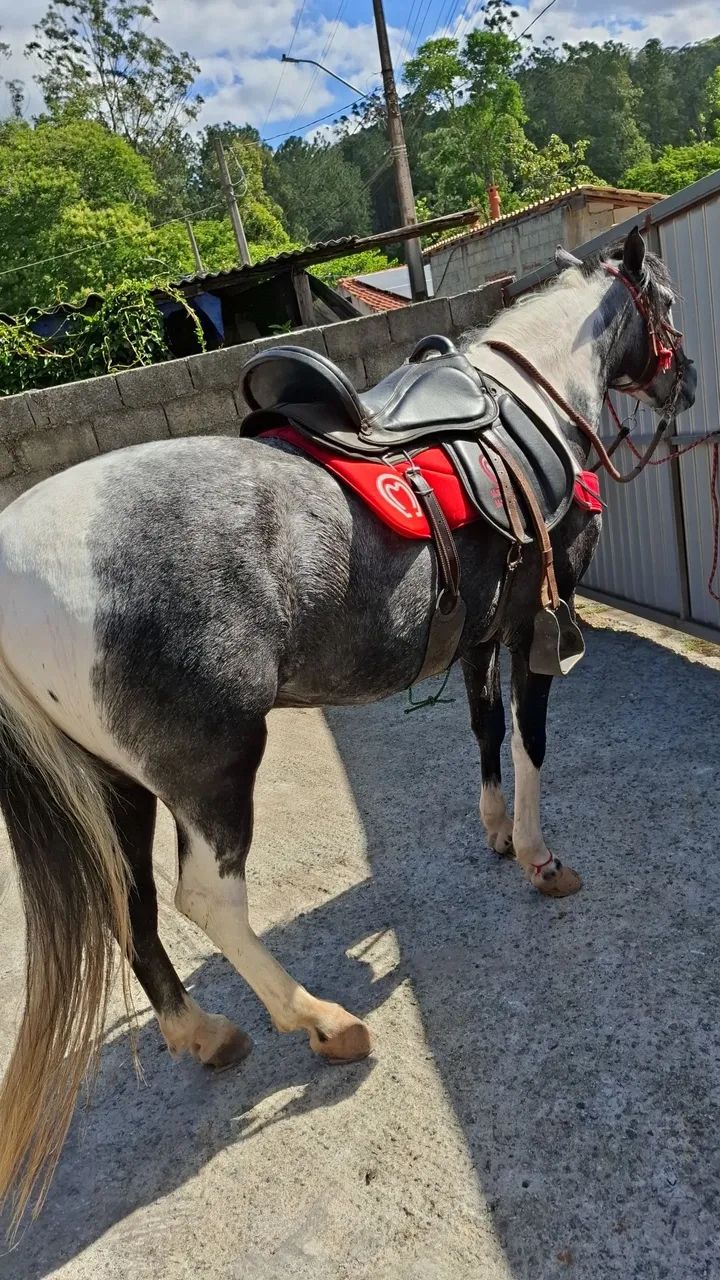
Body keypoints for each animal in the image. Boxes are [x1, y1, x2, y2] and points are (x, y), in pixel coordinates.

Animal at [0, 228, 696, 1227]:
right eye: (667, 304)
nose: (689, 386)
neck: (532, 402)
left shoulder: (478, 631)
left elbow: (483, 727)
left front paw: (493, 833)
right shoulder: (534, 624)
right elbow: (529, 740)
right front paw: (535, 855)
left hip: (112, 786)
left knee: (130, 904)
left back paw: (204, 1033)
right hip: (213, 766)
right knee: (206, 899)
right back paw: (321, 1022)